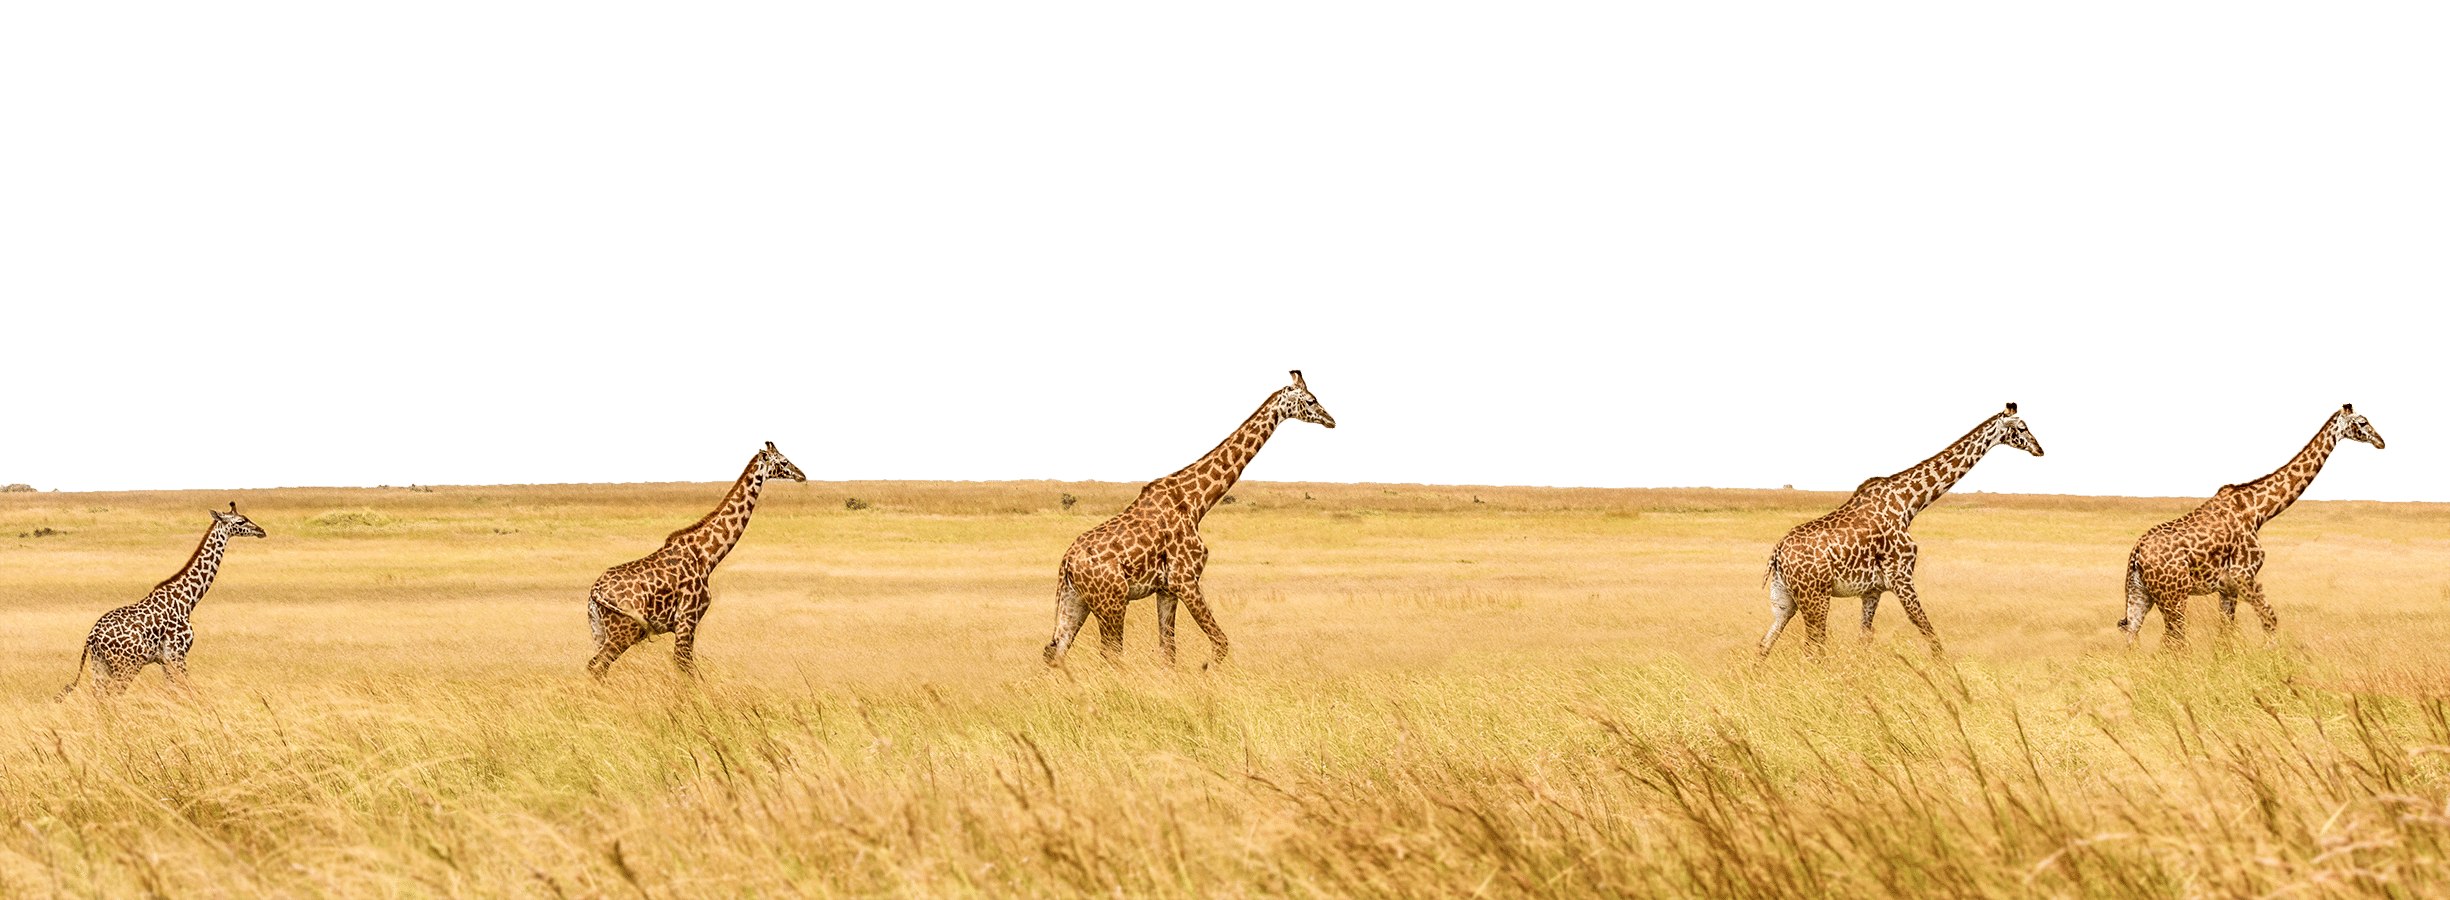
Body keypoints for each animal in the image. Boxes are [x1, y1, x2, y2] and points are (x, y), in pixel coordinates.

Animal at [56, 503, 268, 699]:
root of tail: (92, 636)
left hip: (100, 665)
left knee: (98, 697)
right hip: (127, 665)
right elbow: (188, 691)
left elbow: (172, 692)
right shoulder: (177, 655)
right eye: (240, 521)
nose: (261, 531)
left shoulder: (165, 661)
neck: (187, 599)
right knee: (112, 696)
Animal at [586, 442, 806, 679]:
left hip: (600, 631)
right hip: (624, 631)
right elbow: (686, 666)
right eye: (783, 461)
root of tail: (595, 591)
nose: (802, 475)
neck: (707, 556)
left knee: (594, 666)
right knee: (598, 666)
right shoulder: (687, 619)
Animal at [1044, 371, 1336, 668]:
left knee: (1055, 651)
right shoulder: (1185, 579)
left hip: (1075, 600)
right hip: (1111, 601)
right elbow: (1220, 642)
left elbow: (1168, 651)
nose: (1331, 420)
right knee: (1110, 655)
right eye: (1310, 400)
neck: (1196, 502)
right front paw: (1206, 670)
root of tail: (1066, 563)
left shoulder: (1166, 589)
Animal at [1758, 403, 2044, 658]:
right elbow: (1930, 634)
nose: (2040, 449)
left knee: (1766, 643)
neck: (1909, 503)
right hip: (1815, 596)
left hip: (1786, 599)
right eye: (2022, 427)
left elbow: (1865, 638)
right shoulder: (1902, 578)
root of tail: (1777, 553)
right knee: (1813, 647)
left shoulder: (1872, 591)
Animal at [2119, 404, 2384, 649]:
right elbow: (2270, 619)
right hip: (2174, 595)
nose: (2381, 442)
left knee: (2133, 635)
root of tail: (2136, 554)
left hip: (2140, 594)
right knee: (2173, 641)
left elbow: (2227, 633)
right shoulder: (2243, 575)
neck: (2257, 510)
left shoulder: (2227, 587)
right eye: (2362, 422)